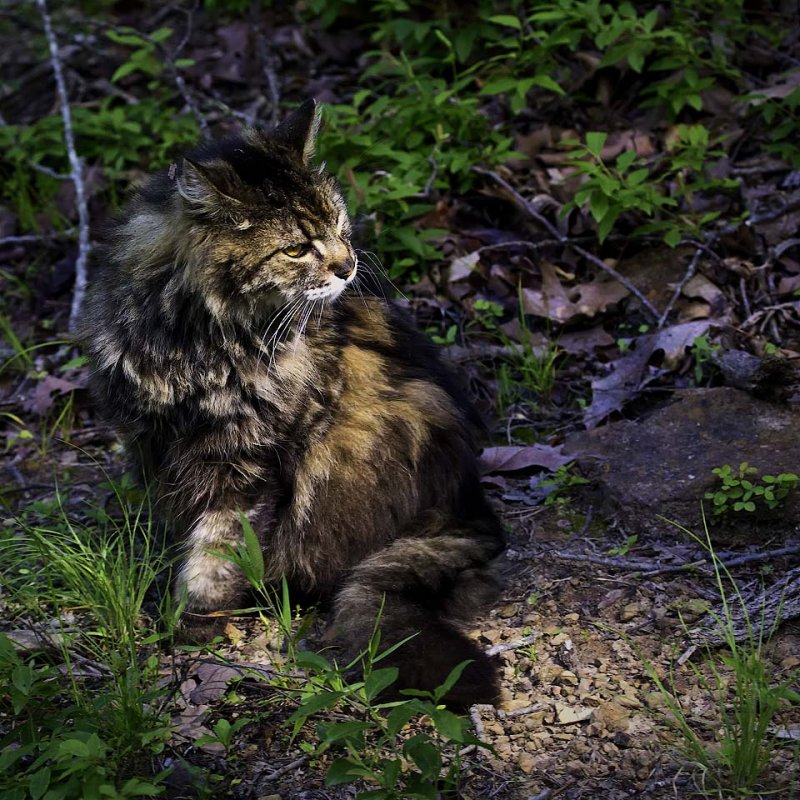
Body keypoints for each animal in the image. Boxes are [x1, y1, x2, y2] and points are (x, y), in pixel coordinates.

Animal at [83, 100, 506, 708]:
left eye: (338, 227)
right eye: (296, 248)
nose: (348, 265)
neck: (198, 344)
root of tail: (469, 506)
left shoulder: (247, 463)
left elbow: (217, 549)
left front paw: (192, 621)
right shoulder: (155, 443)